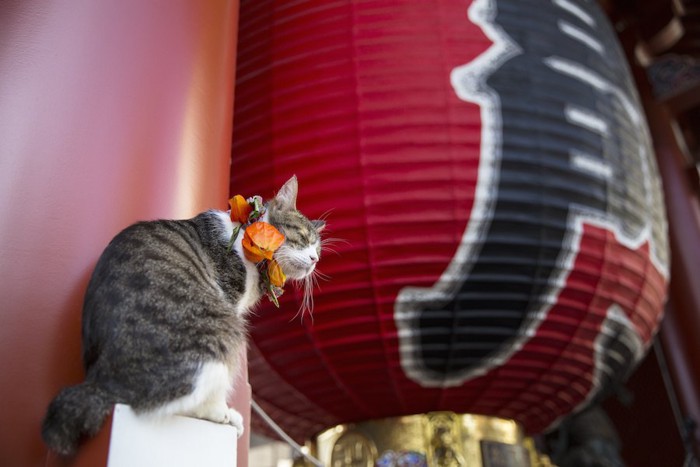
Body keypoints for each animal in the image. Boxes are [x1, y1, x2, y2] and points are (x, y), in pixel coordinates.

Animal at [42, 176, 326, 458]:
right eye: (303, 237)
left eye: (318, 249)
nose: (314, 260)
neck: (244, 235)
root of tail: (100, 382)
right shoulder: (230, 300)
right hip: (226, 330)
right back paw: (223, 413)